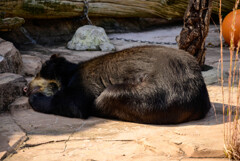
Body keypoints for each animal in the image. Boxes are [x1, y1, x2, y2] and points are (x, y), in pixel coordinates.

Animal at [25, 45, 211, 124]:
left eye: (37, 73)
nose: (25, 88)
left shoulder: (83, 81)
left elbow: (72, 103)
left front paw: (35, 97)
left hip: (160, 93)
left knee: (108, 96)